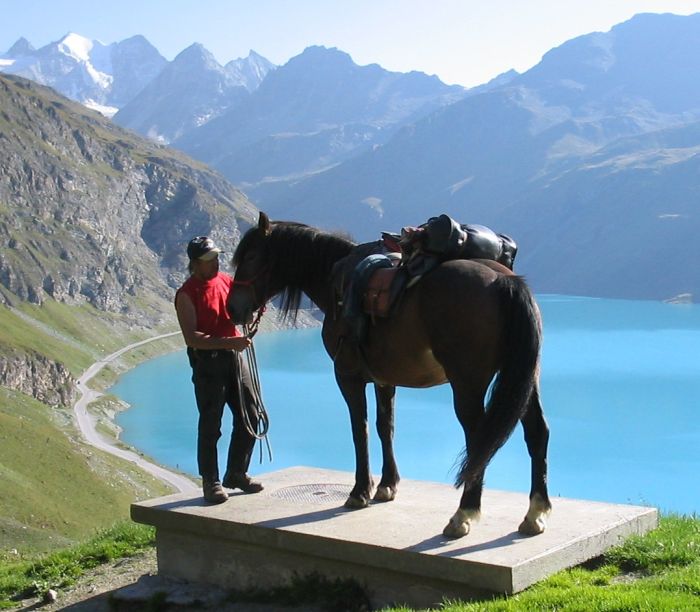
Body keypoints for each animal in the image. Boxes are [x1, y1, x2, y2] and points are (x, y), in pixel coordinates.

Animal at [227, 213, 548, 536]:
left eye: (251, 256)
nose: (232, 308)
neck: (336, 282)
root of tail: (504, 280)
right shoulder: (384, 379)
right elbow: (386, 427)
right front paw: (387, 486)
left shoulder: (347, 376)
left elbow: (360, 429)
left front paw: (359, 492)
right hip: (522, 381)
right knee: (537, 431)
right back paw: (535, 513)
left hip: (468, 384)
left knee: (478, 441)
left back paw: (463, 515)